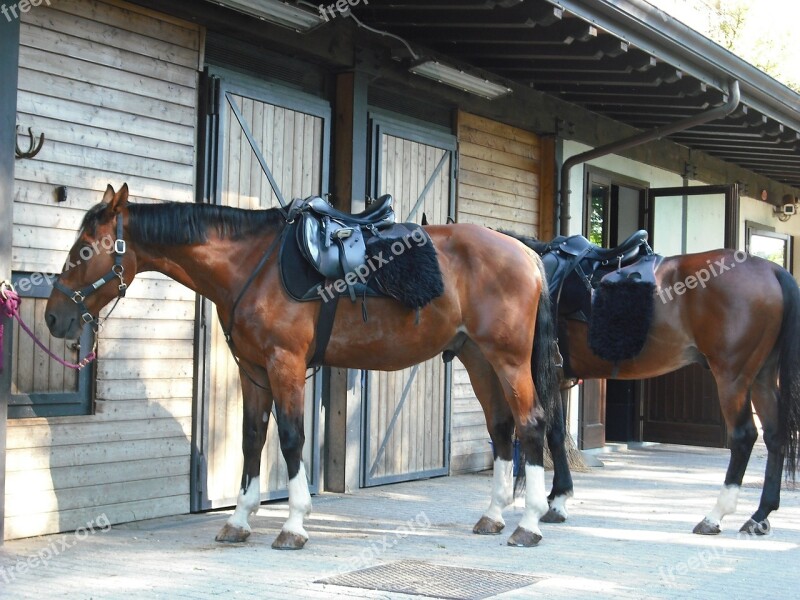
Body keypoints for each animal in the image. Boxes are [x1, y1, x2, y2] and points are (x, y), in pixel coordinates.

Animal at [45, 186, 568, 548]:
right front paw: (238, 520)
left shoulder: (285, 364)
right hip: (478, 358)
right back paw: (495, 516)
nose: (54, 317)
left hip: (508, 360)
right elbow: (252, 438)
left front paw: (294, 524)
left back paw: (529, 523)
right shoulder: (253, 370)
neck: (252, 265)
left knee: (532, 425)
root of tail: (527, 254)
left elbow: (292, 438)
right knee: (501, 429)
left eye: (84, 250)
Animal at [506, 232, 800, 536]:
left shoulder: (545, 377)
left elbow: (551, 434)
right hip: (762, 376)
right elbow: (557, 434)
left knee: (744, 437)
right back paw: (760, 515)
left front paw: (554, 501)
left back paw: (715, 516)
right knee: (774, 435)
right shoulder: (558, 379)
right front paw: (558, 498)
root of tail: (772, 270)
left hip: (733, 377)